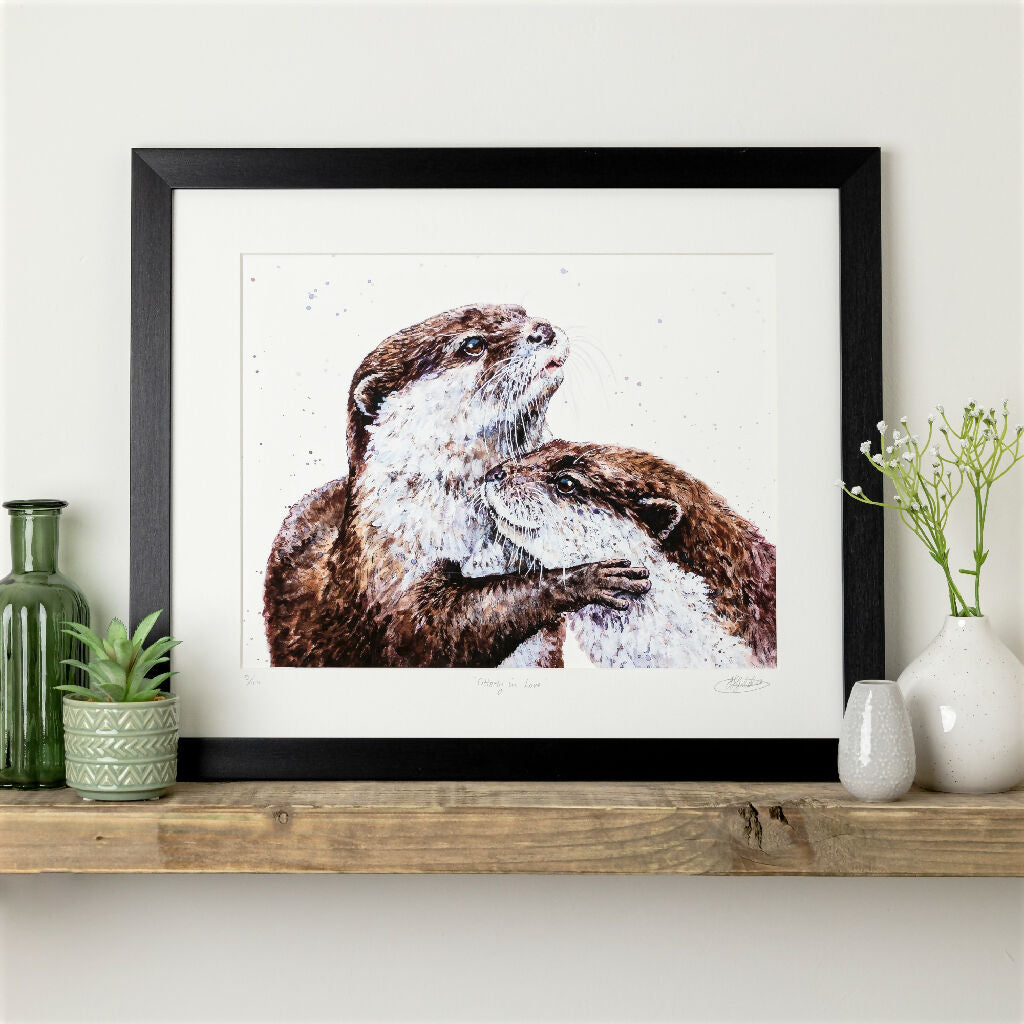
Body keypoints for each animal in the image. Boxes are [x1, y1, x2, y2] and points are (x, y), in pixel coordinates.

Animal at [264, 305, 650, 668]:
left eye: (521, 311)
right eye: (473, 344)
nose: (542, 330)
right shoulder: (391, 592)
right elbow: (450, 626)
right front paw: (587, 578)